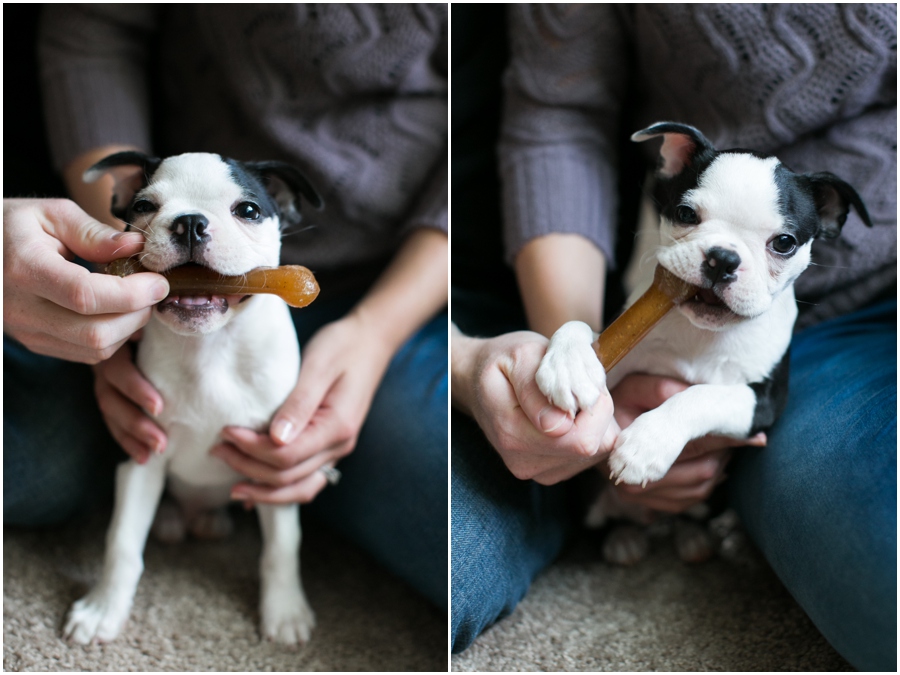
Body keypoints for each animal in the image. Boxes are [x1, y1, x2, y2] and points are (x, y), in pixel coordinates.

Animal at [65, 151, 324, 648]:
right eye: (144, 206)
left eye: (248, 210)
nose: (189, 223)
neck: (210, 348)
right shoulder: (142, 452)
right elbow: (121, 542)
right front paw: (103, 609)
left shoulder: (273, 461)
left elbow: (283, 546)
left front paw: (285, 612)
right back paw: (171, 520)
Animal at [536, 121, 872, 564]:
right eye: (685, 214)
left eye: (784, 242)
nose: (722, 258)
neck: (703, 333)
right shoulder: (626, 344)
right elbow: (585, 331)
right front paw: (569, 367)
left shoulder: (762, 403)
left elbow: (700, 396)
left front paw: (647, 443)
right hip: (588, 498)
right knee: (603, 519)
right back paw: (624, 538)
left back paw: (699, 537)